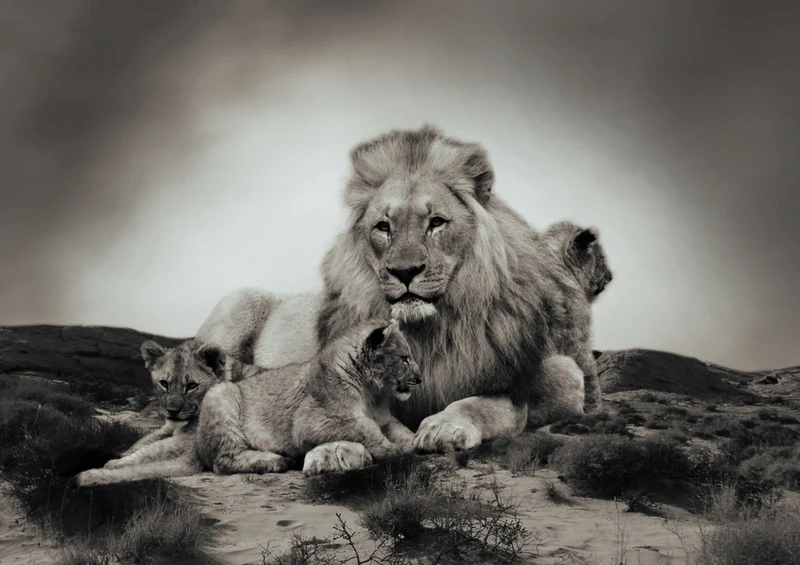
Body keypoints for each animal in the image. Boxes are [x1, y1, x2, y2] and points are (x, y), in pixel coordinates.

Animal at [72, 338, 231, 487]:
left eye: (192, 386)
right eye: (164, 383)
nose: (172, 411)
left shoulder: (187, 449)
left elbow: (148, 456)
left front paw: (99, 470)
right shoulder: (166, 430)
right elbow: (141, 445)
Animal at [196, 318, 422, 477]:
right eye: (404, 359)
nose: (419, 379)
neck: (372, 394)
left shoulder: (385, 419)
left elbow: (400, 430)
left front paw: (416, 441)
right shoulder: (309, 422)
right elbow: (364, 427)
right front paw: (390, 449)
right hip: (220, 393)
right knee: (223, 460)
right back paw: (273, 460)